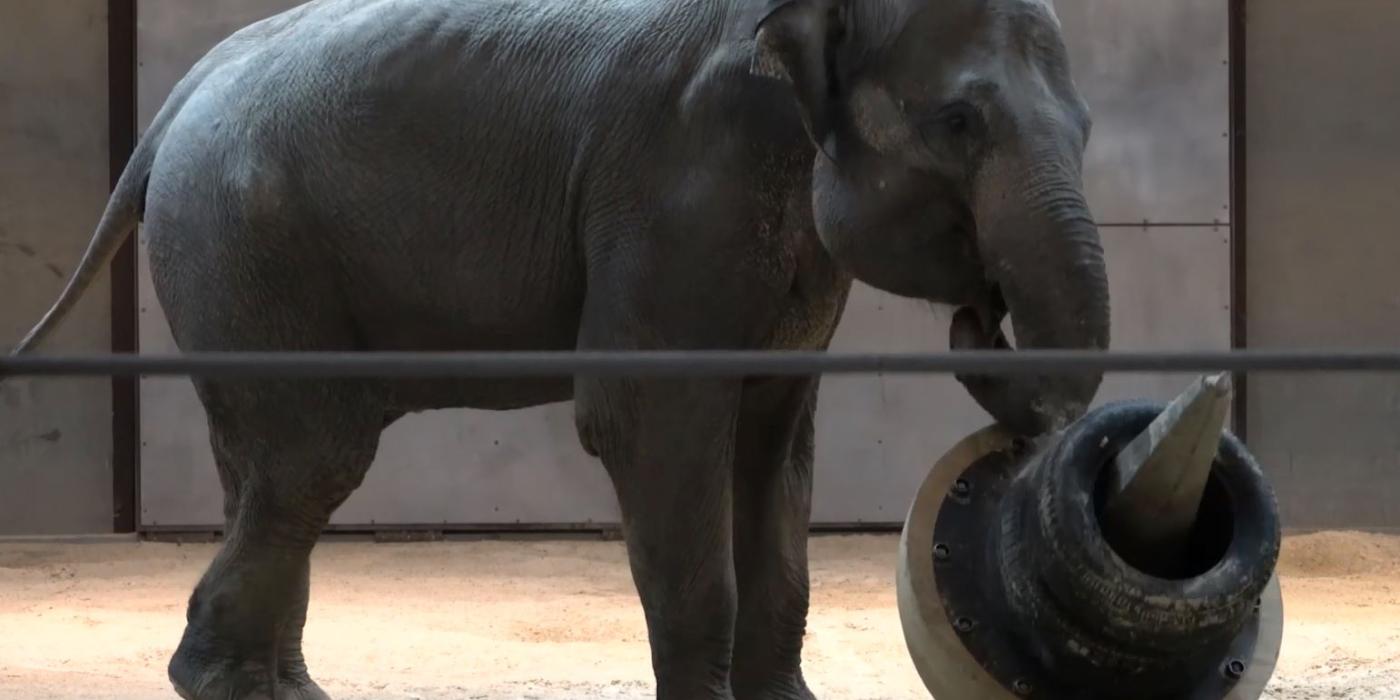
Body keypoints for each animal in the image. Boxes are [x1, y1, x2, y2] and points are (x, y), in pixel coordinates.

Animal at [8, 0, 1103, 697]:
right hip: (246, 243)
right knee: (313, 458)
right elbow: (643, 420)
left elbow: (777, 436)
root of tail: (177, 97)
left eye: (1091, 129)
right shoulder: (678, 189)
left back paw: (286, 690)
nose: (982, 310)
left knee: (263, 468)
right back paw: (220, 685)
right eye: (958, 121)